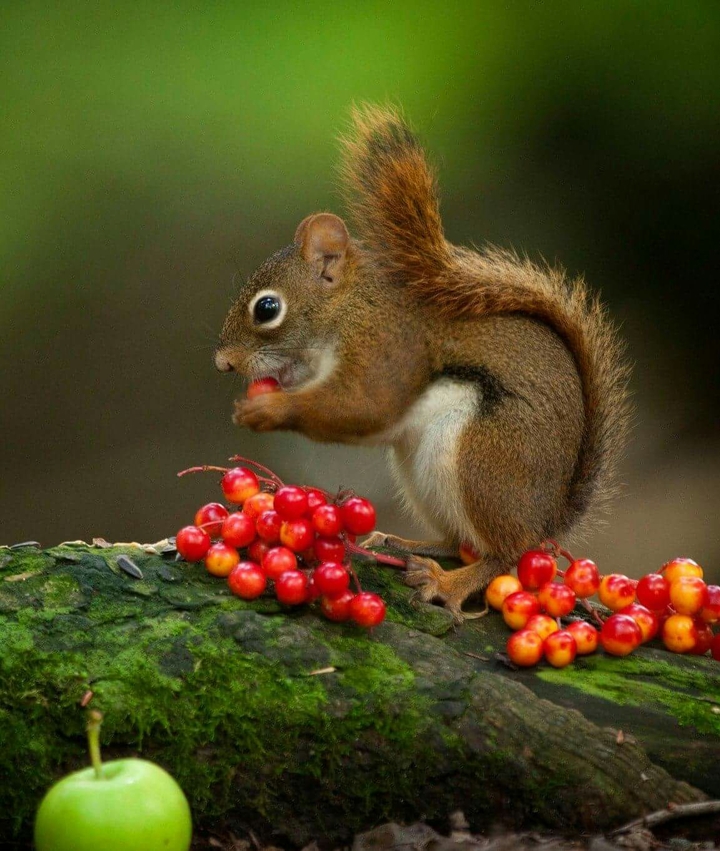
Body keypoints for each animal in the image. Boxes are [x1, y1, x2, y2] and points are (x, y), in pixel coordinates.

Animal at [214, 105, 631, 621]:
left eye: (267, 308)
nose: (223, 363)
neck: (351, 308)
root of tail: (549, 518)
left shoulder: (388, 346)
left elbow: (363, 405)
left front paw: (266, 410)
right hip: (420, 473)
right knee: (458, 540)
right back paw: (404, 543)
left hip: (483, 462)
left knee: (505, 553)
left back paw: (447, 584)